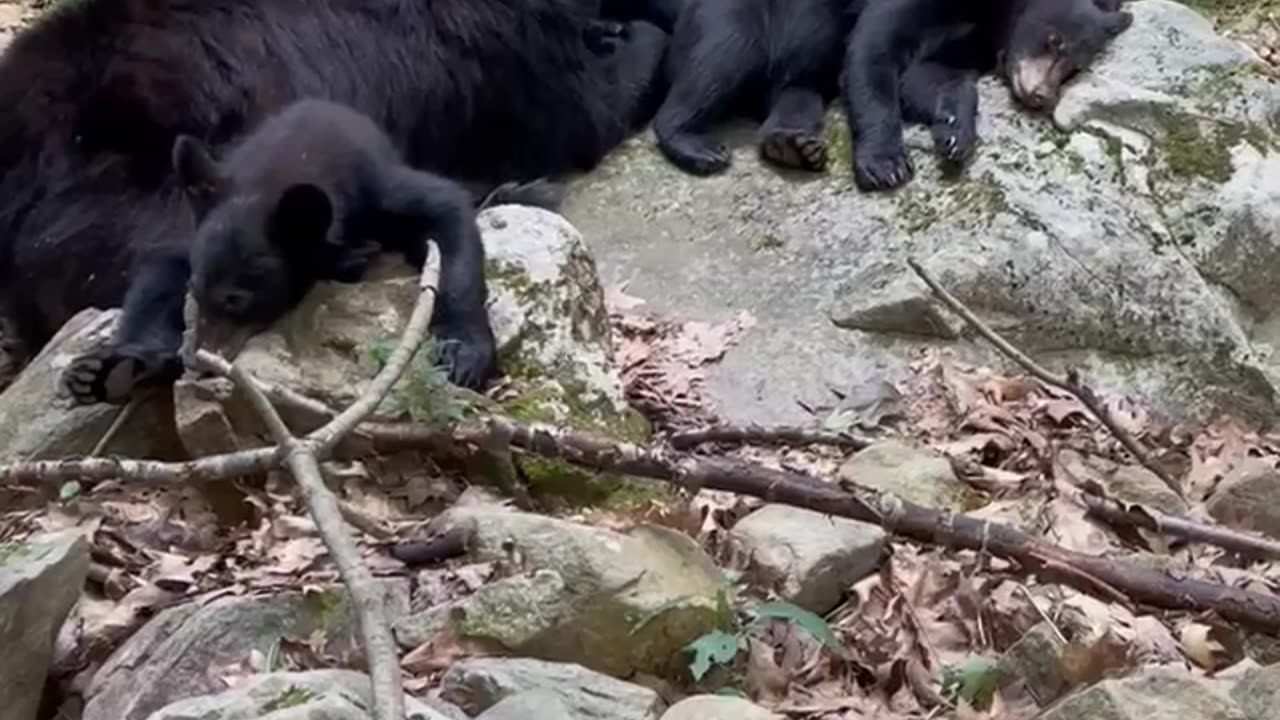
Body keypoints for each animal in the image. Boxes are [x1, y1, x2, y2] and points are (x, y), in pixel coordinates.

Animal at [62, 99, 496, 399]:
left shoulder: (375, 189)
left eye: (237, 299)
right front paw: (117, 366)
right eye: (196, 291)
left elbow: (447, 212)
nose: (197, 361)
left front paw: (464, 351)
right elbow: (159, 276)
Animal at [844, 0, 1136, 189]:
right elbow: (876, 45)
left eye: (1074, 69)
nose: (1041, 94)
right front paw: (886, 166)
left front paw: (955, 133)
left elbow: (928, 76)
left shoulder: (979, 41)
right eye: (1055, 40)